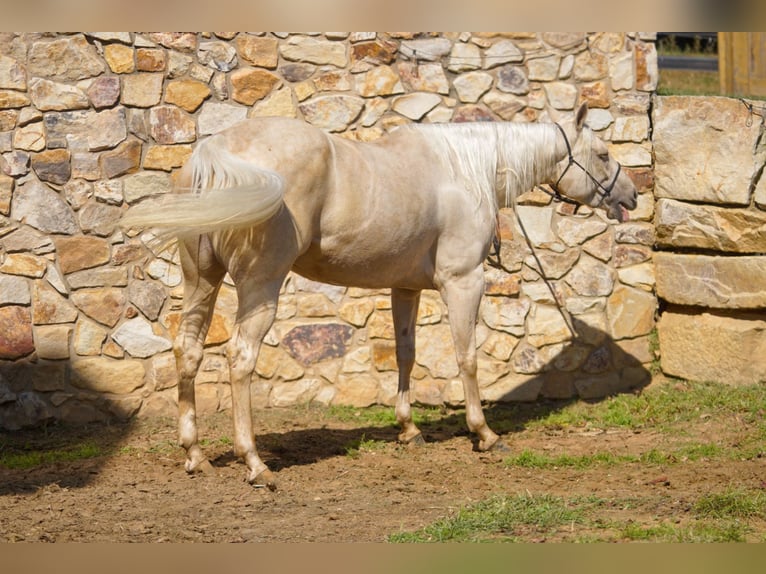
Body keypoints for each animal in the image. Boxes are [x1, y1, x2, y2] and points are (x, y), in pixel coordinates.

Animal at [121, 102, 638, 489]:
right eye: (603, 153)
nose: (630, 197)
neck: (467, 171)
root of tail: (216, 151)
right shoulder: (463, 281)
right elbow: (467, 356)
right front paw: (485, 434)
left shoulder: (404, 287)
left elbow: (406, 353)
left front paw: (409, 430)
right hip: (260, 284)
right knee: (241, 357)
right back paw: (255, 464)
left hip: (201, 280)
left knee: (188, 350)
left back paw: (195, 455)